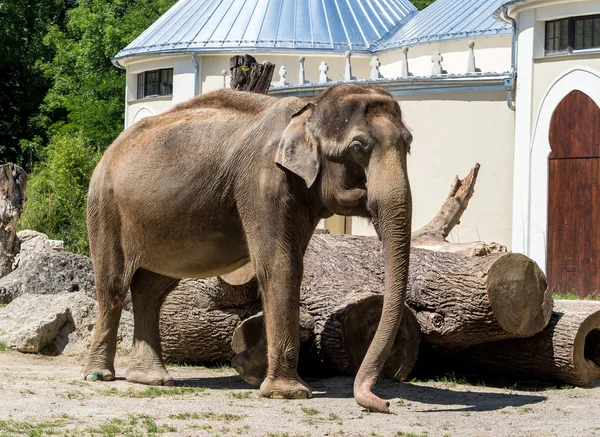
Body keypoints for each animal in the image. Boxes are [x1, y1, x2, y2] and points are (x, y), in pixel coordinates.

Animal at [83, 82, 412, 412]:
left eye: (408, 144)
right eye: (357, 147)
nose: (384, 403)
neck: (309, 106)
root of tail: (108, 151)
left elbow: (286, 263)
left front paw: (251, 371)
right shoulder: (262, 182)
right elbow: (281, 266)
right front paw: (287, 393)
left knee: (151, 289)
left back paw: (151, 379)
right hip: (106, 206)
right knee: (113, 286)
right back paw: (99, 375)